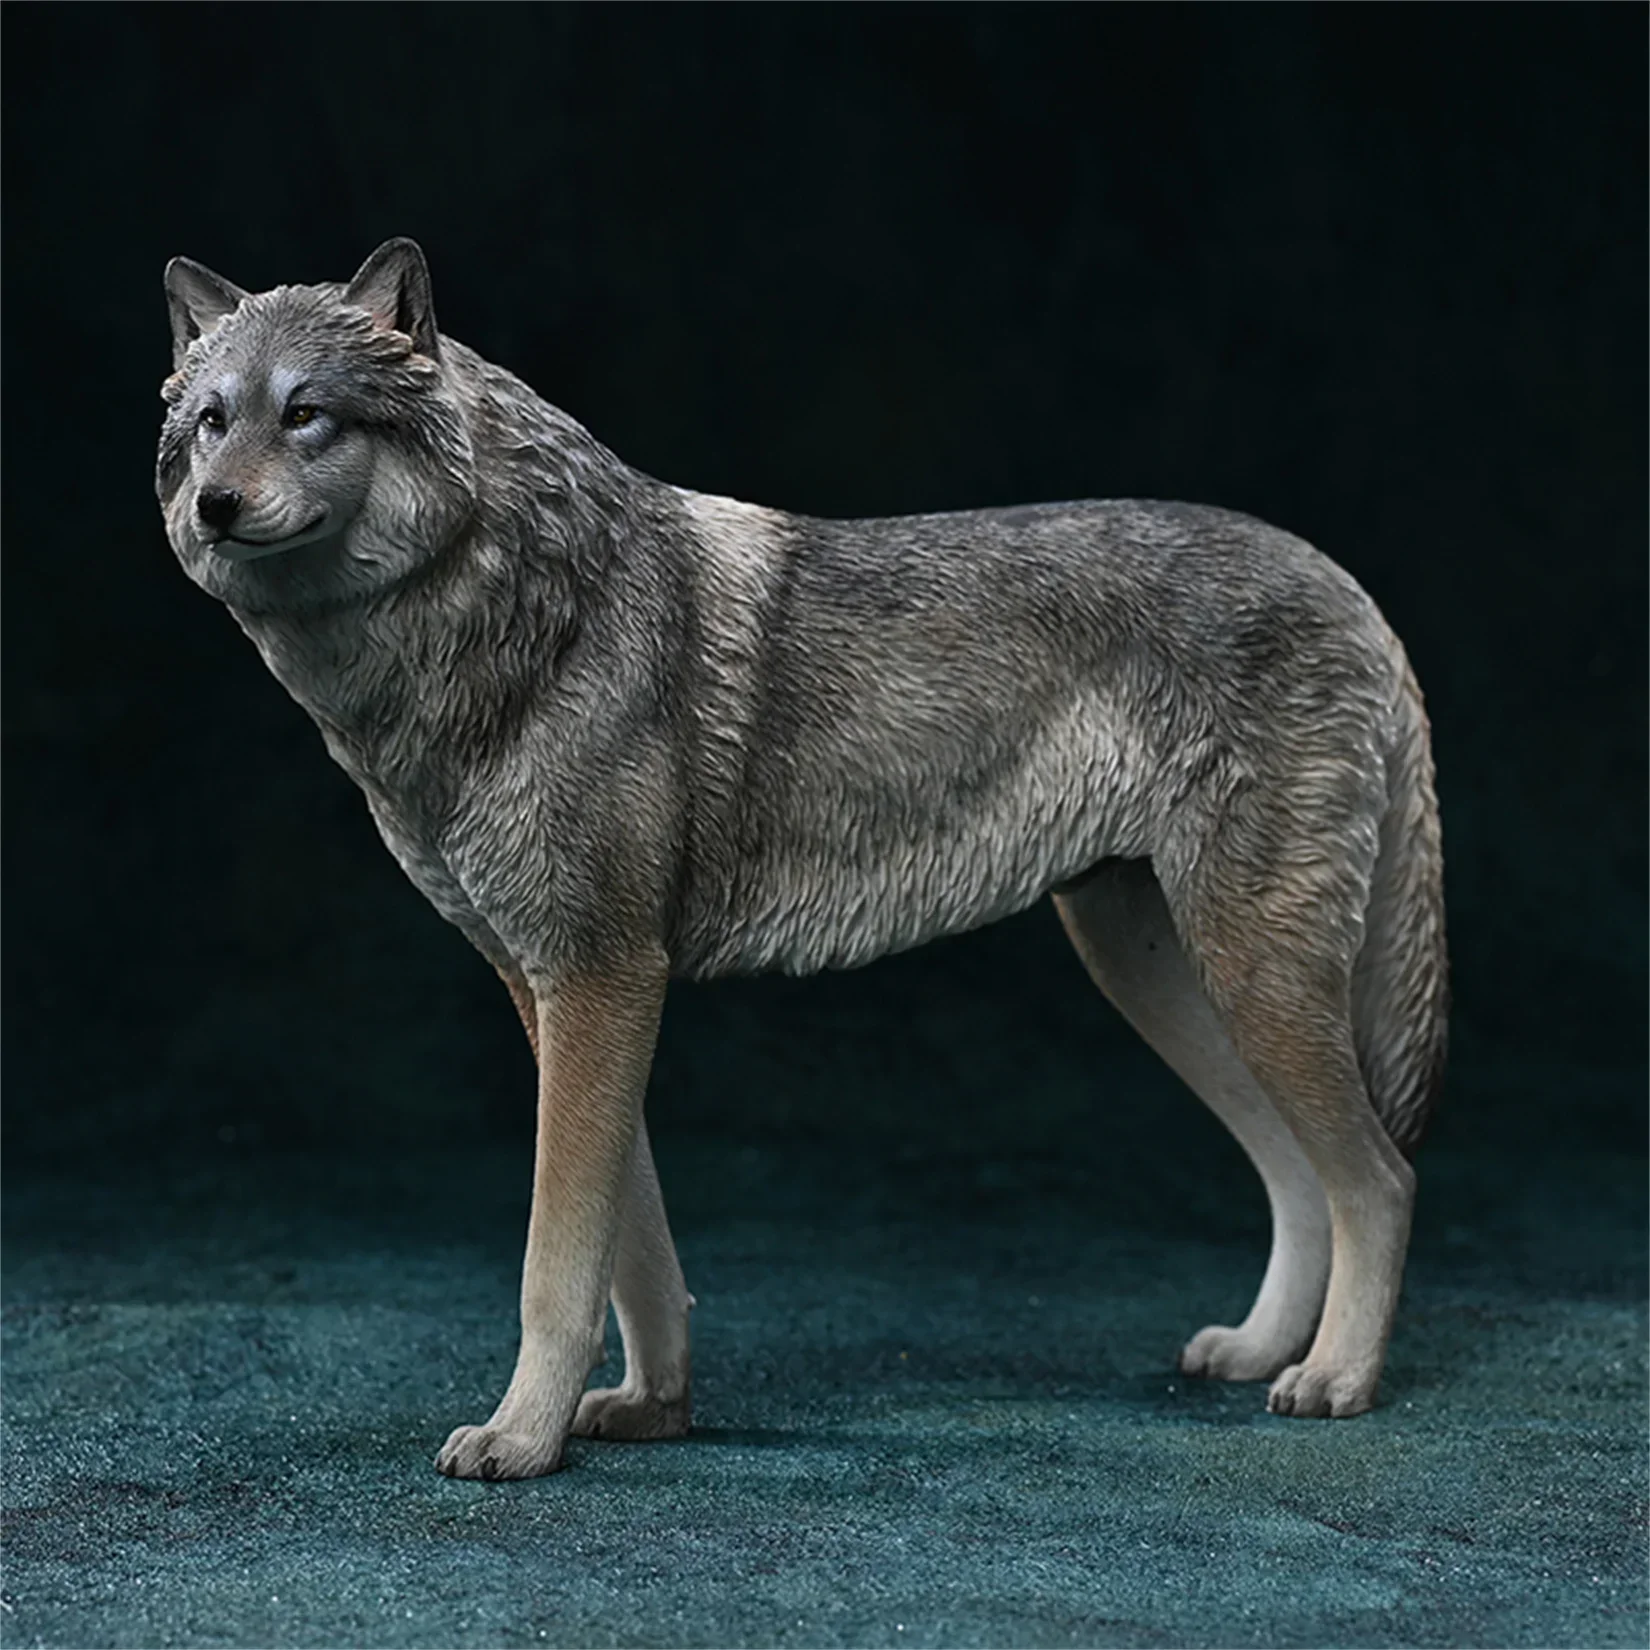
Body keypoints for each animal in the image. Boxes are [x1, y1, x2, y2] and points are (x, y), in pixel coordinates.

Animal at [156, 238, 1447, 1481]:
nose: (213, 506)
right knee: (1302, 1176)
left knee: (1378, 1178)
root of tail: (1351, 588)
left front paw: (523, 1442)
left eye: (306, 412)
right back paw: (1262, 1350)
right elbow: (634, 1251)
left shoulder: (602, 982)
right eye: (212, 420)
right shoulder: (550, 992)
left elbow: (556, 1263)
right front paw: (648, 1412)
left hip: (1245, 976)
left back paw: (1334, 1379)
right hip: (1165, 977)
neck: (510, 620)